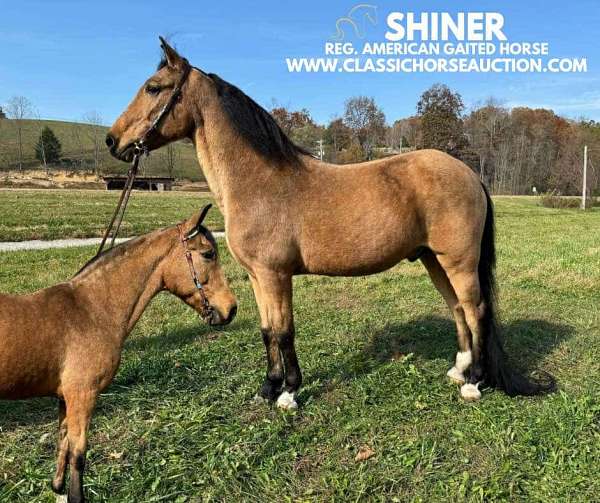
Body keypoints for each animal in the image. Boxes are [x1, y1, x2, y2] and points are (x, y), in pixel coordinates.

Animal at [0, 205, 238, 503]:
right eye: (208, 254)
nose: (231, 309)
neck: (92, 310)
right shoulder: (83, 395)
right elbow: (78, 454)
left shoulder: (65, 398)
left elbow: (63, 443)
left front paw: (58, 489)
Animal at [105, 38, 552, 410]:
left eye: (154, 87)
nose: (113, 141)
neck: (259, 180)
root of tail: (468, 172)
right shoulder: (256, 277)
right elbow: (267, 330)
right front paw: (268, 388)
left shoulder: (275, 275)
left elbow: (284, 331)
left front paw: (289, 394)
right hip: (433, 260)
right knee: (458, 308)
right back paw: (458, 371)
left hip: (458, 260)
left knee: (476, 311)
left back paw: (474, 383)